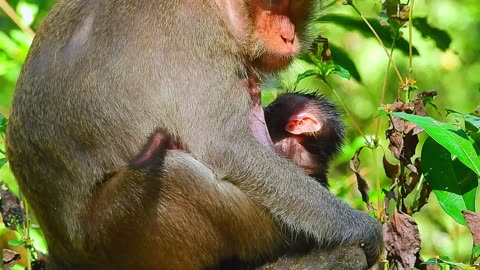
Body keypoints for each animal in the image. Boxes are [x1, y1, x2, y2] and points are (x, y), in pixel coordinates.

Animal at [6, 0, 382, 270]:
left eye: (291, 4)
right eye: (271, 3)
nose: (288, 36)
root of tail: (62, 252)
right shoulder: (198, 35)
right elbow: (227, 148)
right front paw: (361, 228)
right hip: (117, 236)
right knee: (173, 171)